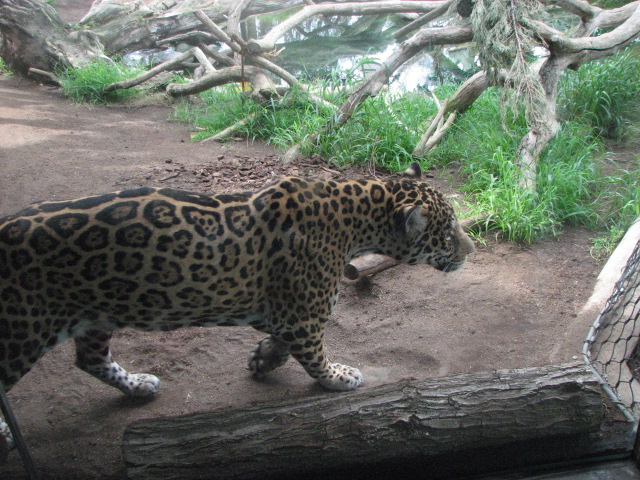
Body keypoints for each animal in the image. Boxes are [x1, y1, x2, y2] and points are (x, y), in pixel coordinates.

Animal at [0, 162, 474, 448]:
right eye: (449, 230)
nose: (470, 250)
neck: (357, 216)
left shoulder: (289, 314)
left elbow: (282, 344)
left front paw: (262, 359)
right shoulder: (304, 316)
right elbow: (315, 356)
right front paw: (339, 378)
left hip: (95, 310)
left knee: (90, 360)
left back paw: (137, 385)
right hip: (22, 328)